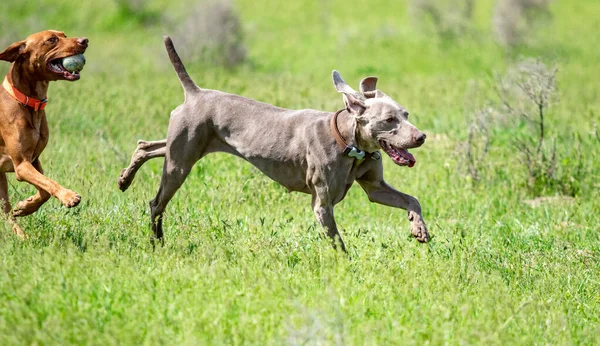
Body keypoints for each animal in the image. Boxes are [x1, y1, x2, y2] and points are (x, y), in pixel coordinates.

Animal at [0, 30, 88, 235]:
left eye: (64, 35)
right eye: (52, 40)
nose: (85, 40)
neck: (28, 102)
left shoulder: (33, 160)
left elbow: (45, 190)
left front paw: (26, 206)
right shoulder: (22, 165)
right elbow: (50, 183)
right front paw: (68, 196)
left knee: (6, 213)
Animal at [117, 36, 426, 251]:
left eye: (406, 115)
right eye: (389, 120)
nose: (421, 137)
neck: (350, 144)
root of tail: (195, 93)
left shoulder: (375, 188)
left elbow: (412, 199)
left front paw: (419, 228)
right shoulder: (322, 204)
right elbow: (338, 243)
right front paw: (347, 268)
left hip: (183, 146)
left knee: (146, 146)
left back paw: (125, 178)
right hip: (181, 162)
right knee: (156, 202)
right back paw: (157, 242)